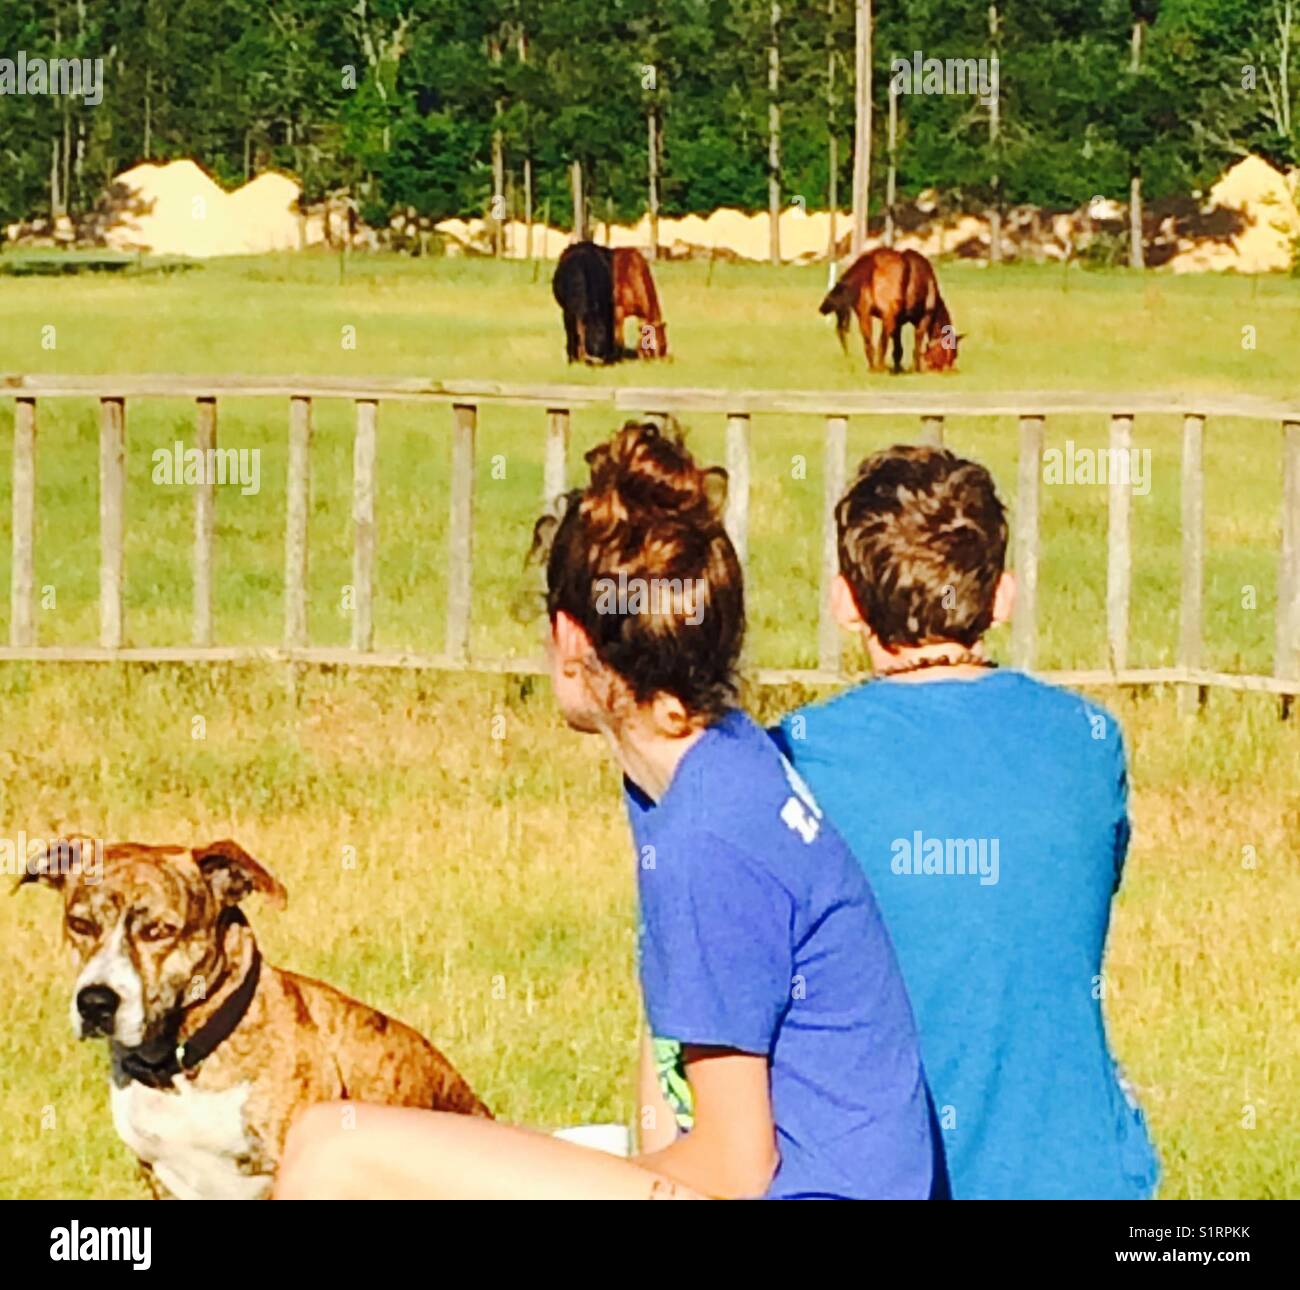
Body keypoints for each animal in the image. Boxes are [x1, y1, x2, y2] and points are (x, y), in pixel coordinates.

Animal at [816, 248, 961, 374]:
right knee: (882, 342)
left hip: (864, 314)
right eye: (952, 353)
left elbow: (898, 348)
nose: (951, 370)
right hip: (888, 314)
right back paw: (881, 368)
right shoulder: (924, 317)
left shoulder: (898, 322)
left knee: (869, 343)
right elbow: (916, 344)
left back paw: (873, 368)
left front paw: (898, 368)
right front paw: (916, 368)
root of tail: (872, 260)